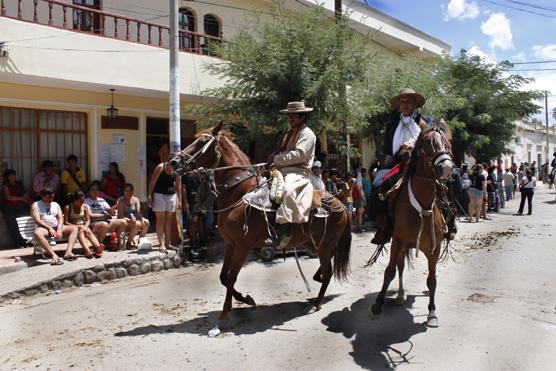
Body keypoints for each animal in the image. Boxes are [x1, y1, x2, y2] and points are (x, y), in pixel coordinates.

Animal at [169, 123, 352, 324]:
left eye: (201, 142)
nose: (174, 161)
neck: (238, 194)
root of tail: (341, 205)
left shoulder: (242, 246)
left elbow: (231, 277)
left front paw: (226, 312)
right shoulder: (230, 244)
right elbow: (224, 277)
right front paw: (245, 299)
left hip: (325, 245)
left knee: (329, 272)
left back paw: (317, 302)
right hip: (315, 243)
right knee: (326, 268)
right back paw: (316, 281)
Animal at [368, 122, 454, 328]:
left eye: (448, 142)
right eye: (428, 142)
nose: (446, 168)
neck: (422, 207)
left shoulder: (434, 248)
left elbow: (432, 280)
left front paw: (432, 313)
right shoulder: (398, 241)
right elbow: (390, 271)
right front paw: (377, 306)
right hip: (399, 243)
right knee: (399, 267)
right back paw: (399, 295)